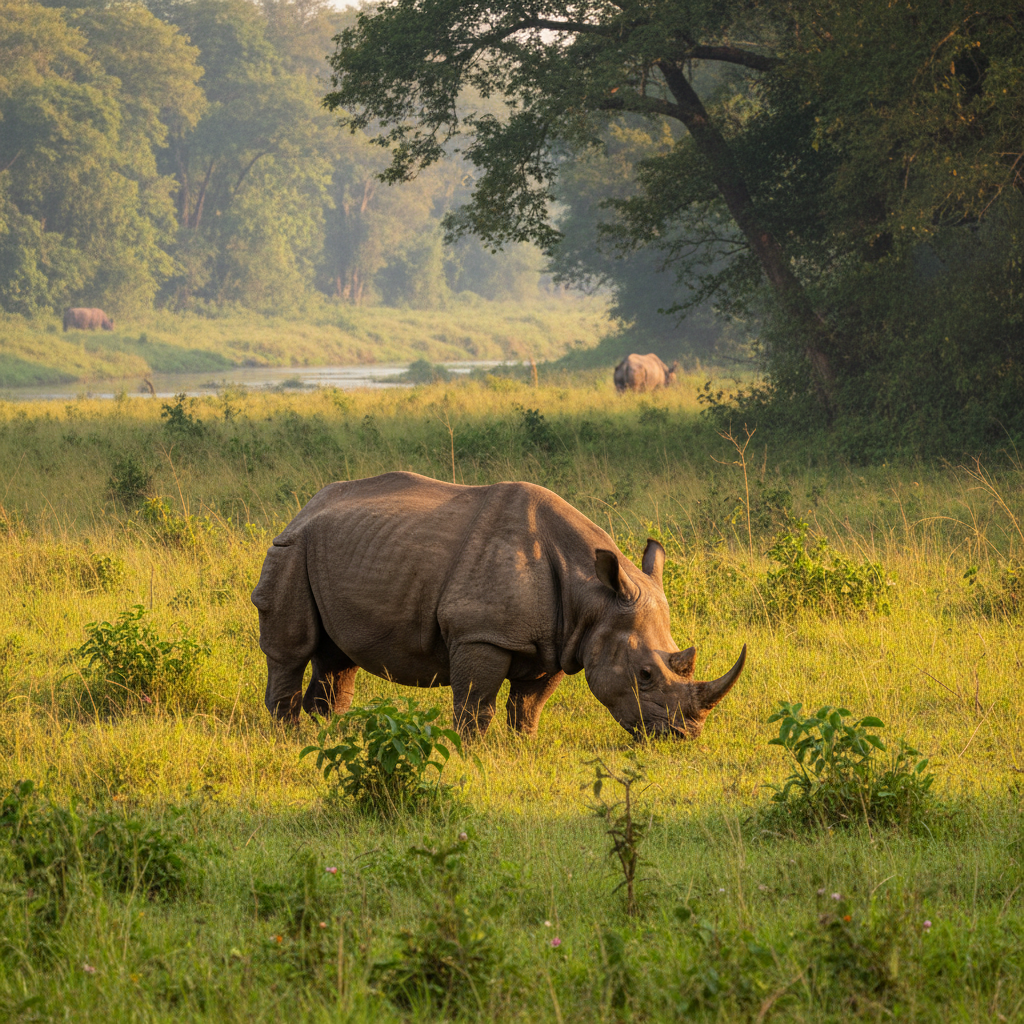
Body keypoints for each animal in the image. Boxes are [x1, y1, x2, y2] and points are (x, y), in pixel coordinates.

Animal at [251, 471, 745, 739]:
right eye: (644, 675)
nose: (684, 735)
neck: (592, 594)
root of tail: (304, 508)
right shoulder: (480, 633)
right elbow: (475, 704)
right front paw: (470, 751)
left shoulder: (562, 642)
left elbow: (529, 704)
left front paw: (524, 744)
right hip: (289, 549)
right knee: (292, 651)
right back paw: (289, 736)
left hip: (338, 548)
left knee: (338, 657)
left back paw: (326, 730)